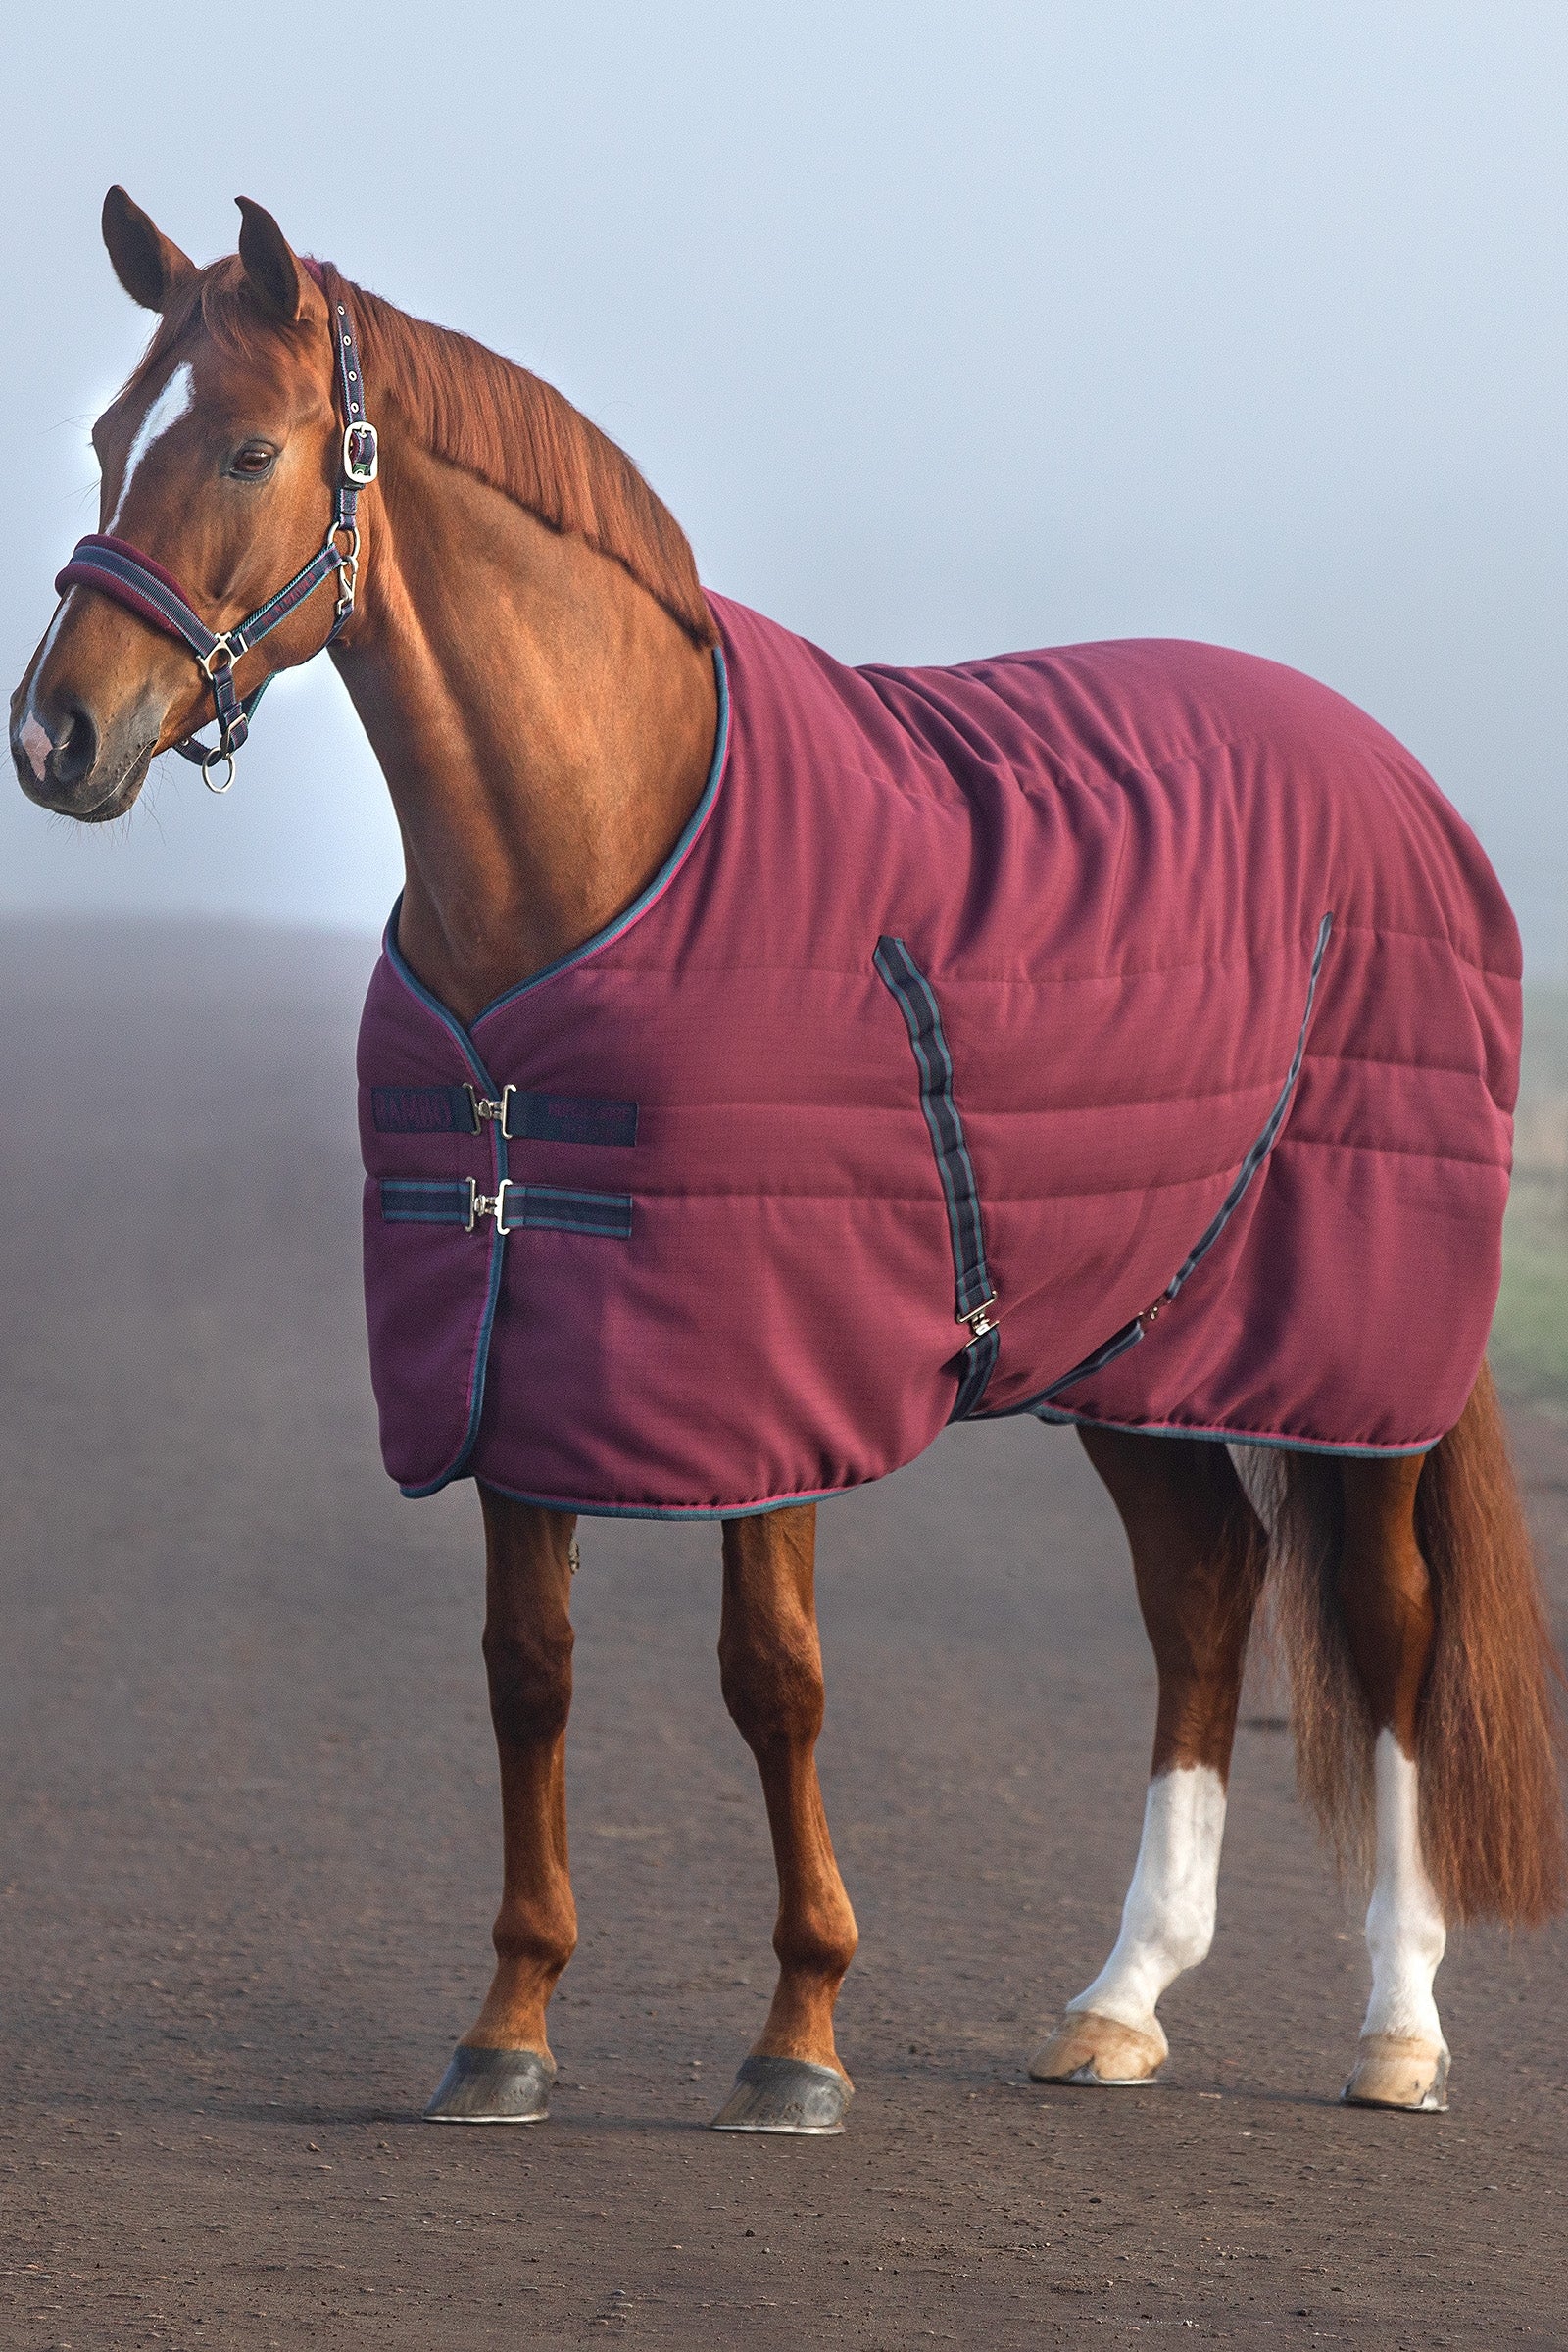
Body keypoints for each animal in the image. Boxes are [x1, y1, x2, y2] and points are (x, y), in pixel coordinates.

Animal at [11, 190, 1564, 2134]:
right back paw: (1122, 2001)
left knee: (1390, 1620)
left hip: (1354, 1355)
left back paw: (1399, 2029)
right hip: (1138, 1341)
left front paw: (800, 2039)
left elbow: (774, 1682)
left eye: (245, 449)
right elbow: (529, 1678)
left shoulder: (768, 1374)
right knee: (1205, 1589)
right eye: (100, 438)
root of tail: (1401, 779)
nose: (55, 737)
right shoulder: (513, 1351)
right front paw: (507, 2028)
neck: (600, 849)